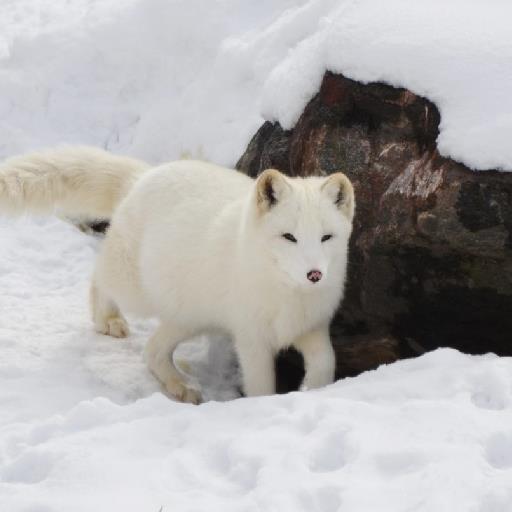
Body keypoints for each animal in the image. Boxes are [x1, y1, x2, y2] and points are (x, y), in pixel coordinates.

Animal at [0, 146, 354, 402]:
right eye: (289, 237)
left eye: (326, 237)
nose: (314, 274)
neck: (287, 295)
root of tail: (144, 176)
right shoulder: (251, 338)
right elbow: (260, 385)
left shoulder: (313, 328)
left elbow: (326, 363)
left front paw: (315, 391)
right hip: (138, 291)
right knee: (99, 278)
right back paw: (108, 319)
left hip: (189, 316)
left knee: (152, 351)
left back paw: (180, 386)